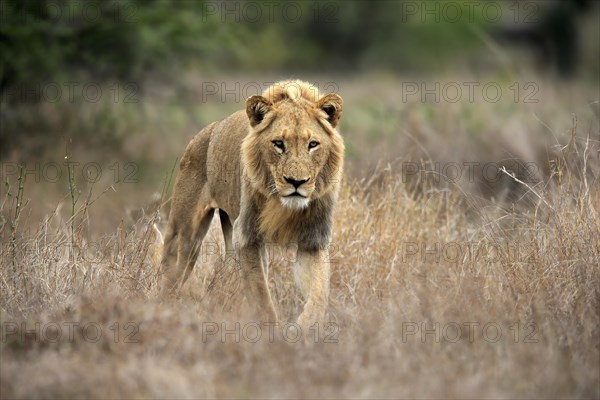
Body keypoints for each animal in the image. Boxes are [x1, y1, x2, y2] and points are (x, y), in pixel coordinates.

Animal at [159, 79, 344, 328]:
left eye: (313, 144)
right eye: (278, 144)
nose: (296, 182)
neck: (284, 206)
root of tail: (208, 130)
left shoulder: (312, 241)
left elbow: (319, 293)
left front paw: (304, 328)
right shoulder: (247, 237)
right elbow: (261, 297)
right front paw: (272, 333)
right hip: (185, 235)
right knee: (171, 273)